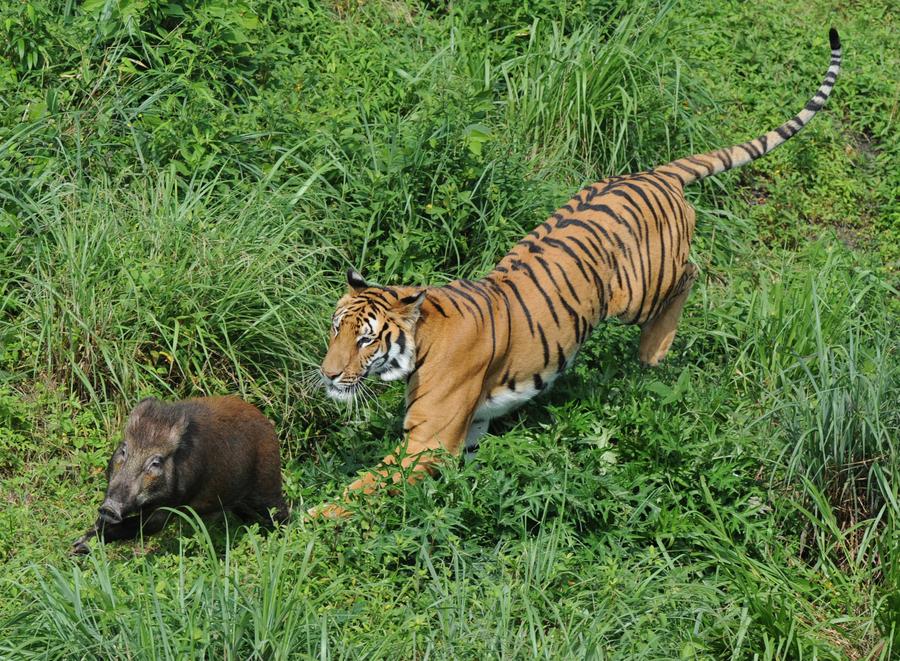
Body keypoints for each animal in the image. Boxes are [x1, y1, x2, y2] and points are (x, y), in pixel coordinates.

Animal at [312, 29, 840, 516]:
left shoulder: (429, 441)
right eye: (336, 331)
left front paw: (307, 521)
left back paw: (654, 350)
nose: (328, 375)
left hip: (640, 292)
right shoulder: (470, 427)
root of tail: (653, 172)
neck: (420, 341)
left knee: (690, 272)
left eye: (366, 339)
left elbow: (359, 491)